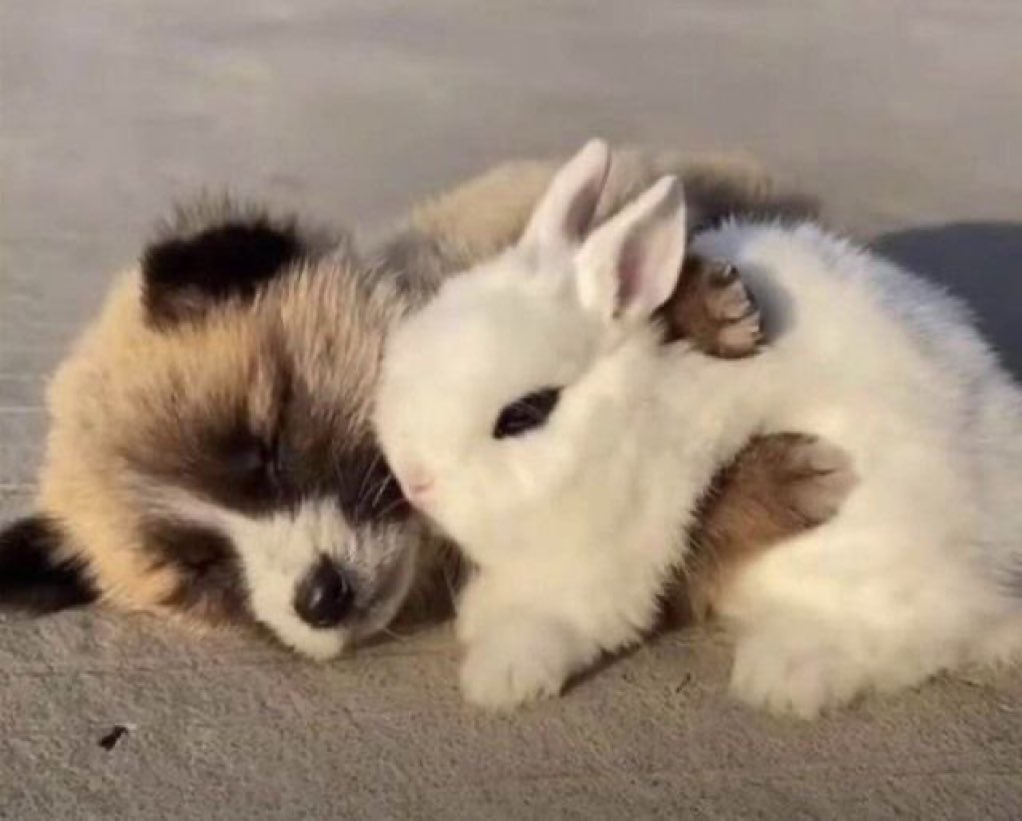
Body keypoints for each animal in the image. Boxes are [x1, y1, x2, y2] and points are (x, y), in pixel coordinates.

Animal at [376, 139, 1022, 714]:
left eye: (525, 413)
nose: (415, 483)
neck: (632, 412)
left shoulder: (614, 551)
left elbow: (559, 614)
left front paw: (502, 676)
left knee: (913, 638)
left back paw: (785, 675)